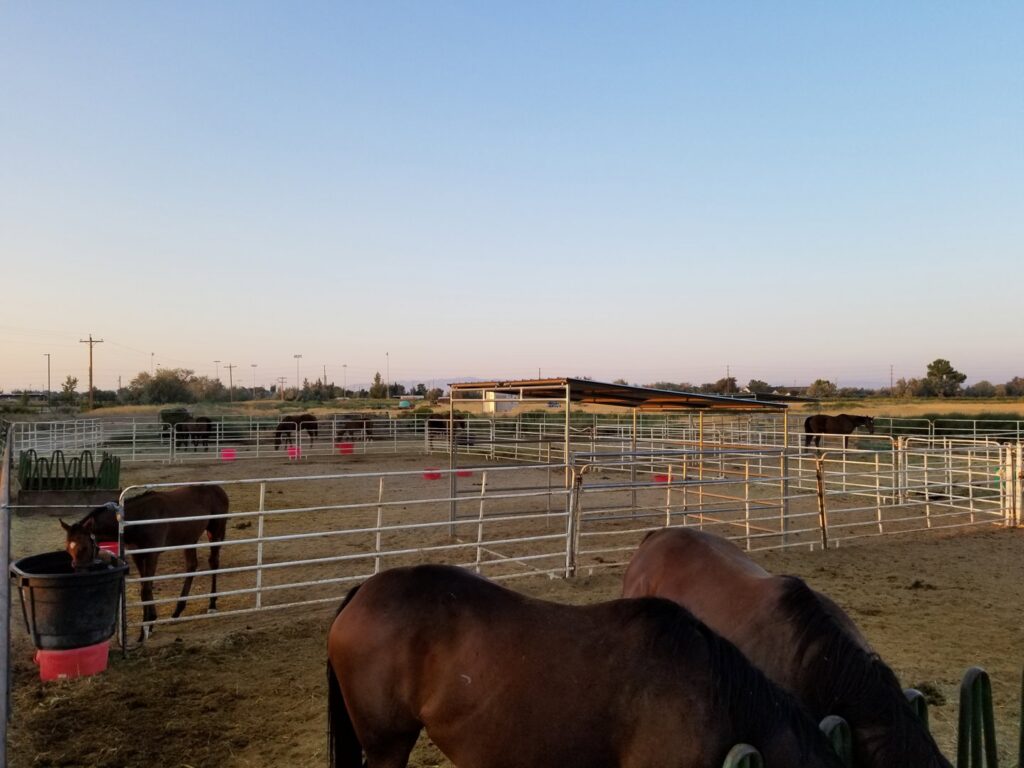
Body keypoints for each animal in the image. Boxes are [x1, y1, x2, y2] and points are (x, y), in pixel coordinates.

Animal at [61, 485, 229, 642]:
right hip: (189, 539)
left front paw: (144, 630)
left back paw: (212, 605)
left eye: (84, 547)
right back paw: (177, 610)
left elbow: (146, 589)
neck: (138, 519)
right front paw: (151, 623)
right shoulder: (138, 555)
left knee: (214, 563)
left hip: (215, 531)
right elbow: (145, 586)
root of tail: (218, 489)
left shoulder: (151, 555)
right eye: (68, 548)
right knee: (191, 566)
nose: (79, 574)